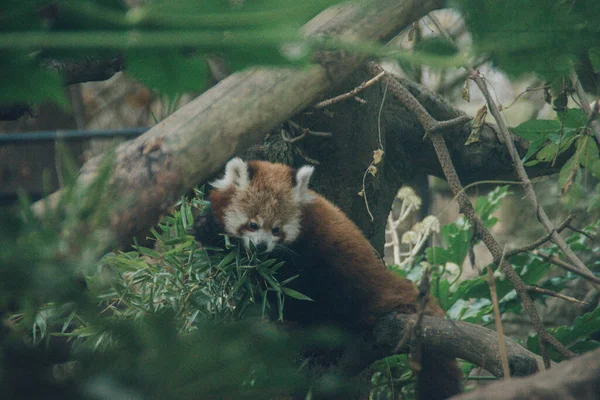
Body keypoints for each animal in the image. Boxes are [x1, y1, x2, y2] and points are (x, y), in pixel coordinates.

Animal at [200, 158, 460, 398]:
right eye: (253, 224)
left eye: (276, 229)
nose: (261, 247)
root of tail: (385, 281)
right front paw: (205, 228)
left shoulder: (306, 249)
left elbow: (281, 279)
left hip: (345, 279)